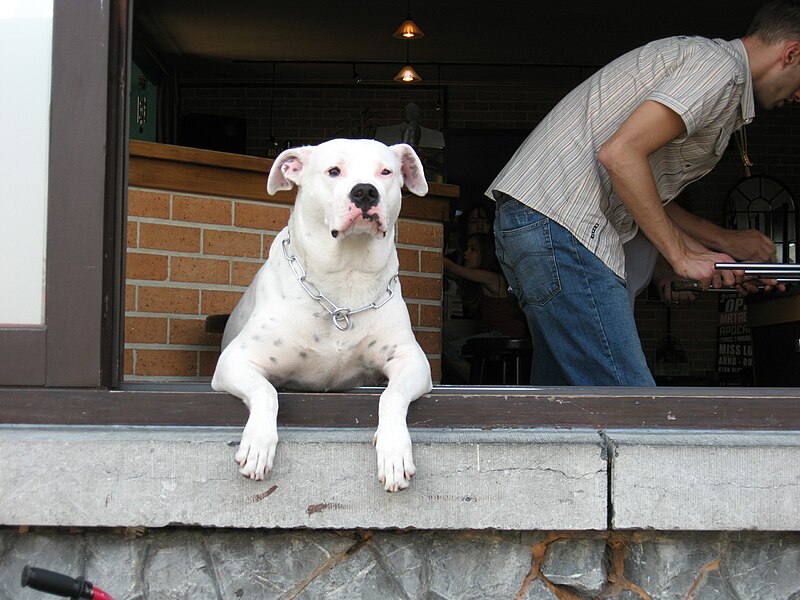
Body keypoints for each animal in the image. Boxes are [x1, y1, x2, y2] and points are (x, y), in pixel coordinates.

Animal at [212, 138, 434, 490]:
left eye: (385, 172)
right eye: (333, 171)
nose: (365, 192)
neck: (346, 278)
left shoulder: (410, 360)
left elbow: (391, 396)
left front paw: (395, 451)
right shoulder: (235, 361)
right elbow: (267, 391)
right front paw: (258, 443)